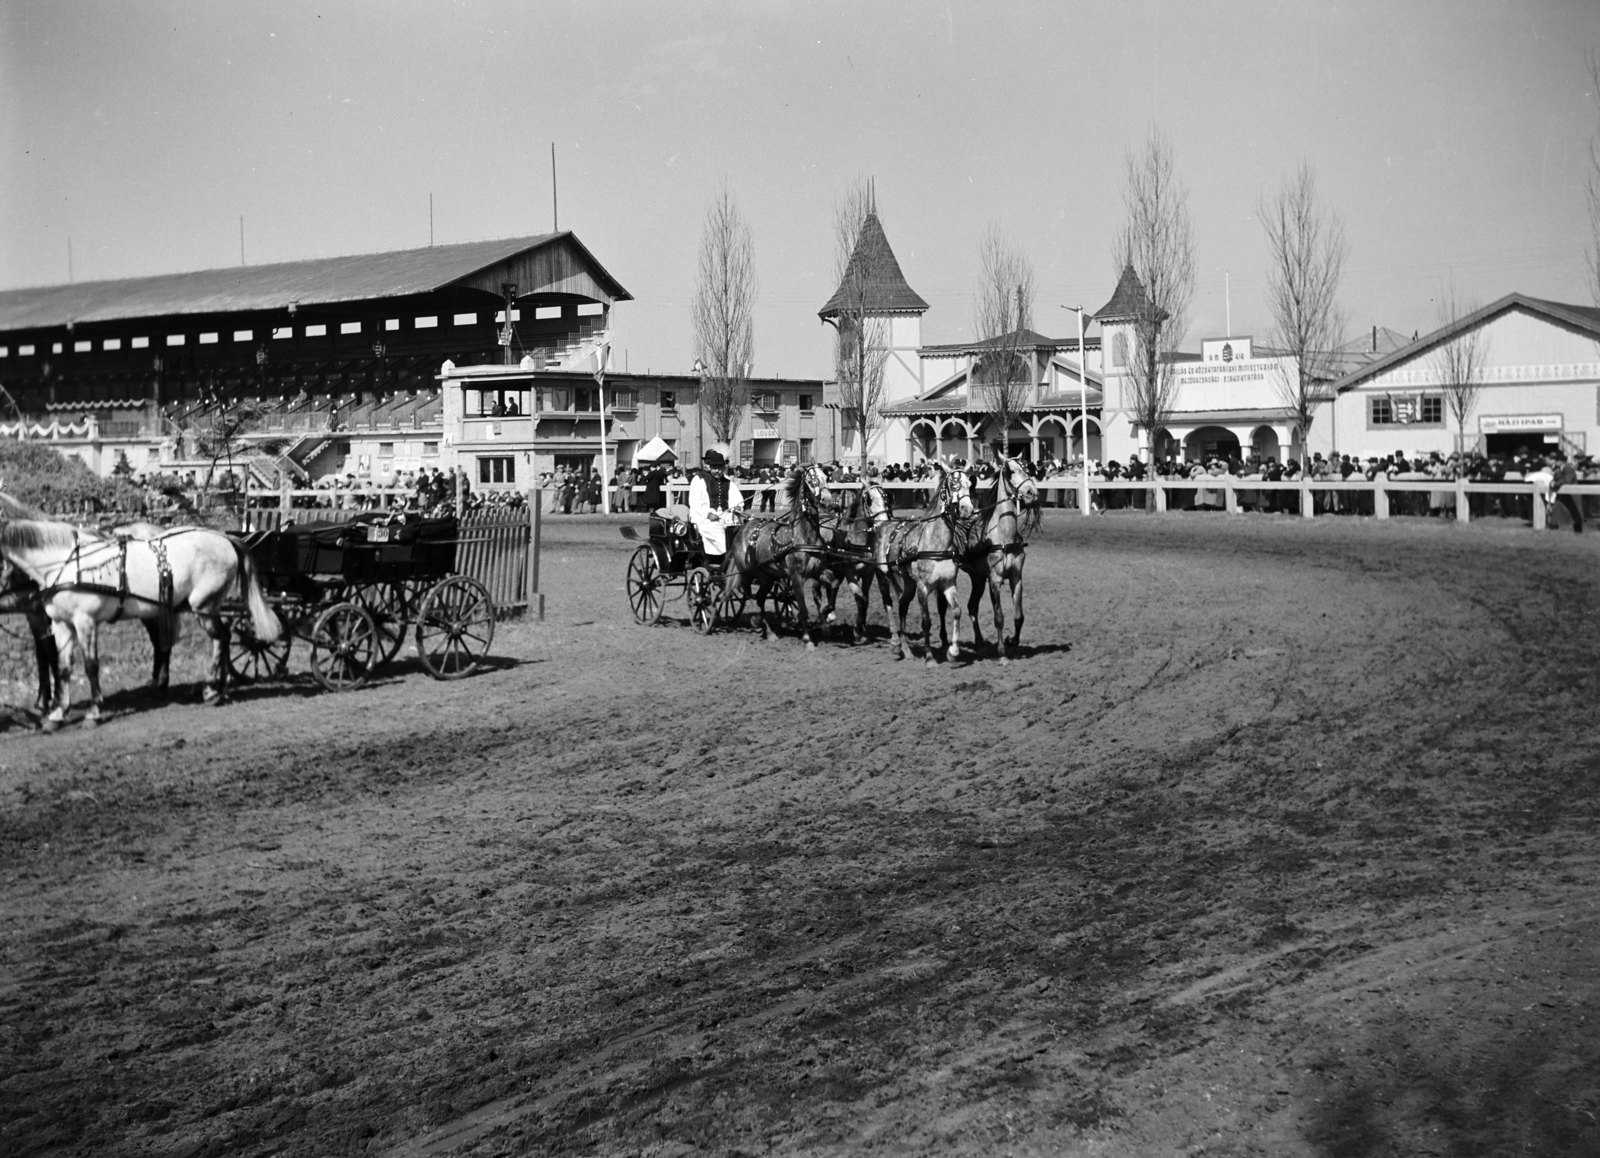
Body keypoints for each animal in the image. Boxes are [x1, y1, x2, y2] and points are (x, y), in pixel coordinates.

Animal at [0, 499, 278, 732]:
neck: (65, 562)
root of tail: (224, 537)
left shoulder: (85, 621)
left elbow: (90, 665)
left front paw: (94, 711)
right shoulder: (60, 624)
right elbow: (63, 667)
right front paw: (57, 715)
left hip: (204, 605)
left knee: (220, 638)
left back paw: (211, 688)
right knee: (219, 637)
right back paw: (219, 686)